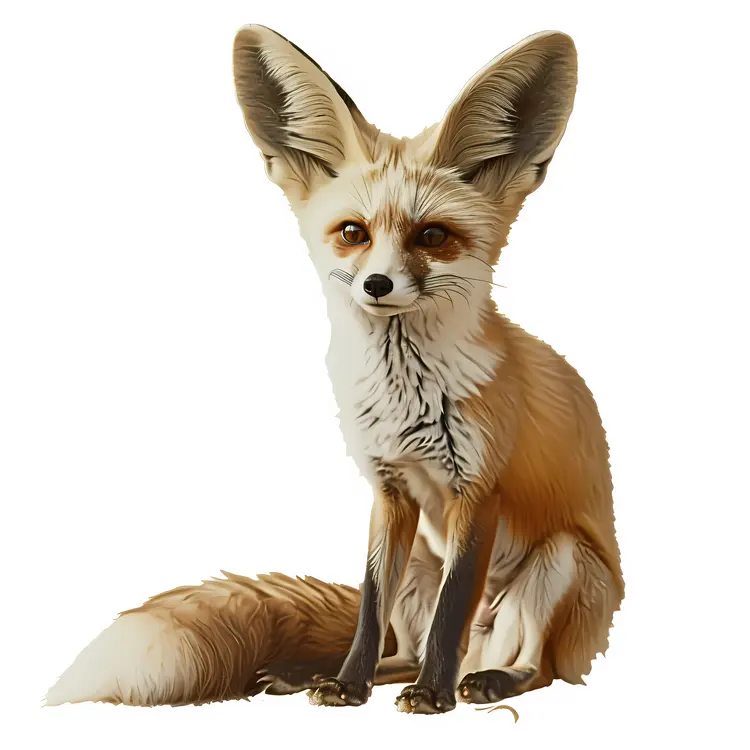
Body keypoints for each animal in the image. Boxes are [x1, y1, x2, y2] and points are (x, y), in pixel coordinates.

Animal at [46, 26, 623, 714]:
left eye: (433, 237)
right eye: (353, 232)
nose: (377, 284)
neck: (408, 401)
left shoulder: (476, 492)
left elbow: (454, 607)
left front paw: (433, 698)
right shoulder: (389, 492)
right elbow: (369, 609)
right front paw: (347, 684)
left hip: (560, 565)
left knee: (534, 665)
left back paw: (480, 682)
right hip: (419, 565)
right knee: (404, 648)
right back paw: (330, 675)